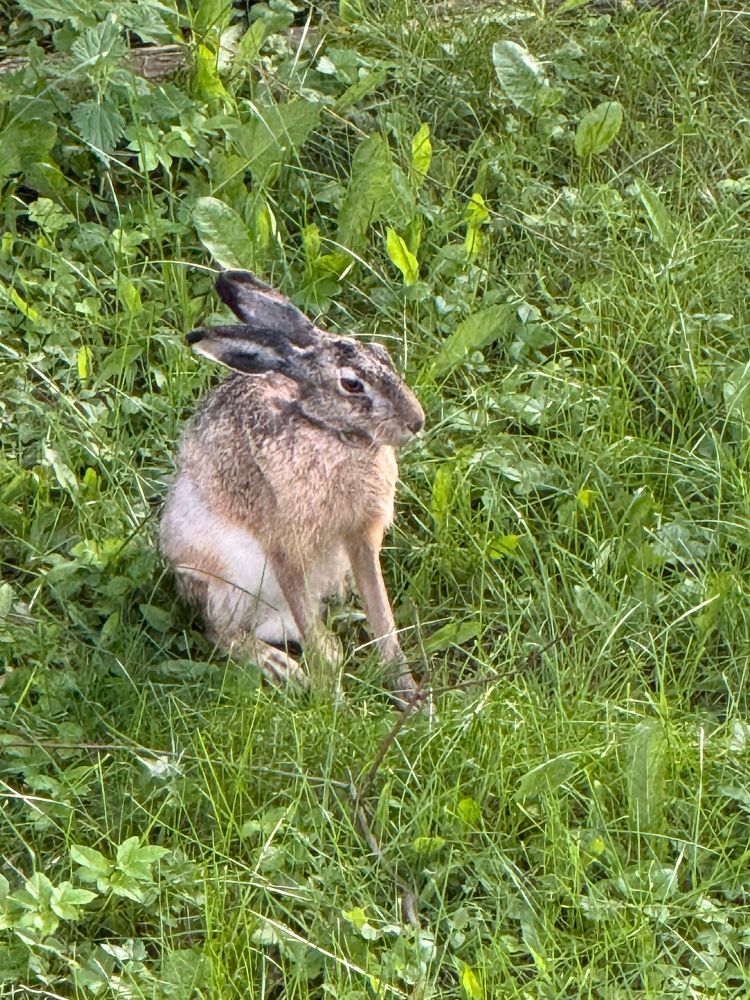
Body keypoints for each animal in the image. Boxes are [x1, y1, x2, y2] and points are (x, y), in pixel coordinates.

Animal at [159, 269, 426, 708]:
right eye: (352, 385)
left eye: (383, 354)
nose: (416, 421)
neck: (330, 431)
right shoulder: (286, 546)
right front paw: (334, 703)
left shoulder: (361, 538)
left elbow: (383, 618)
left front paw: (413, 698)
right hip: (229, 573)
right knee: (221, 629)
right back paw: (281, 667)